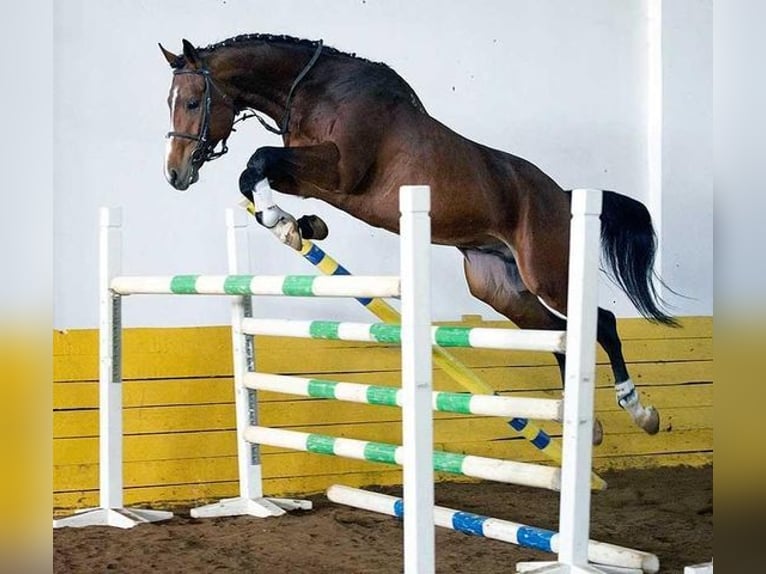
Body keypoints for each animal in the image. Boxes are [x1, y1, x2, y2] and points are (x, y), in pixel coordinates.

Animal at [159, 33, 676, 444]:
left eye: (192, 102)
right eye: (170, 102)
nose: (175, 174)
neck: (315, 90)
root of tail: (563, 195)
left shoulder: (340, 170)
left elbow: (259, 158)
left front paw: (286, 224)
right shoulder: (315, 177)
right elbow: (255, 172)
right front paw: (298, 225)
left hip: (547, 271)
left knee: (601, 322)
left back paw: (640, 411)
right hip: (499, 287)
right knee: (557, 334)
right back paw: (583, 423)